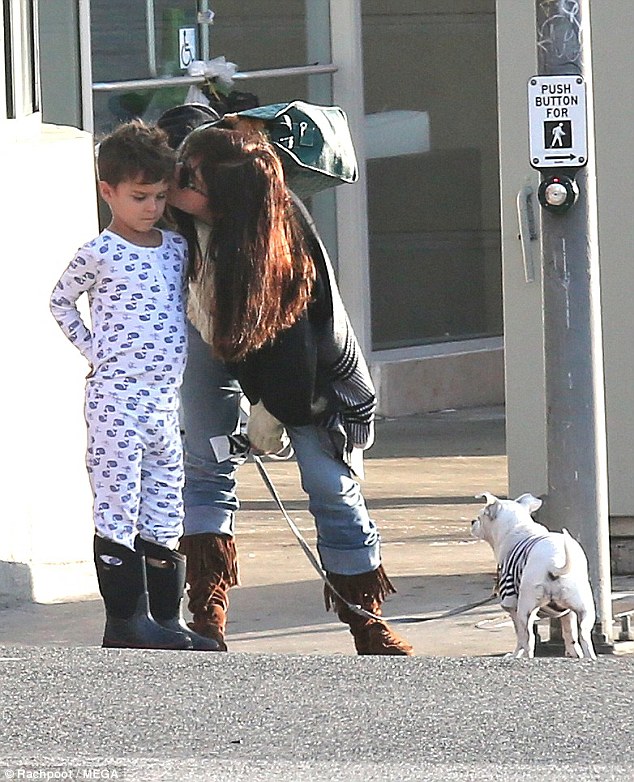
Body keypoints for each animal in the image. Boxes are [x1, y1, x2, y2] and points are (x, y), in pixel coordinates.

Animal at [472, 496, 596, 660]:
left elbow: (519, 637)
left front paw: (515, 654)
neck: (516, 527)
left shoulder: (512, 606)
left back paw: (525, 656)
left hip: (525, 610)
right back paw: (588, 656)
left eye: (480, 517)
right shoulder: (567, 612)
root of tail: (553, 562)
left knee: (528, 640)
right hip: (585, 610)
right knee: (584, 637)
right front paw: (573, 653)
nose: (472, 521)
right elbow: (570, 633)